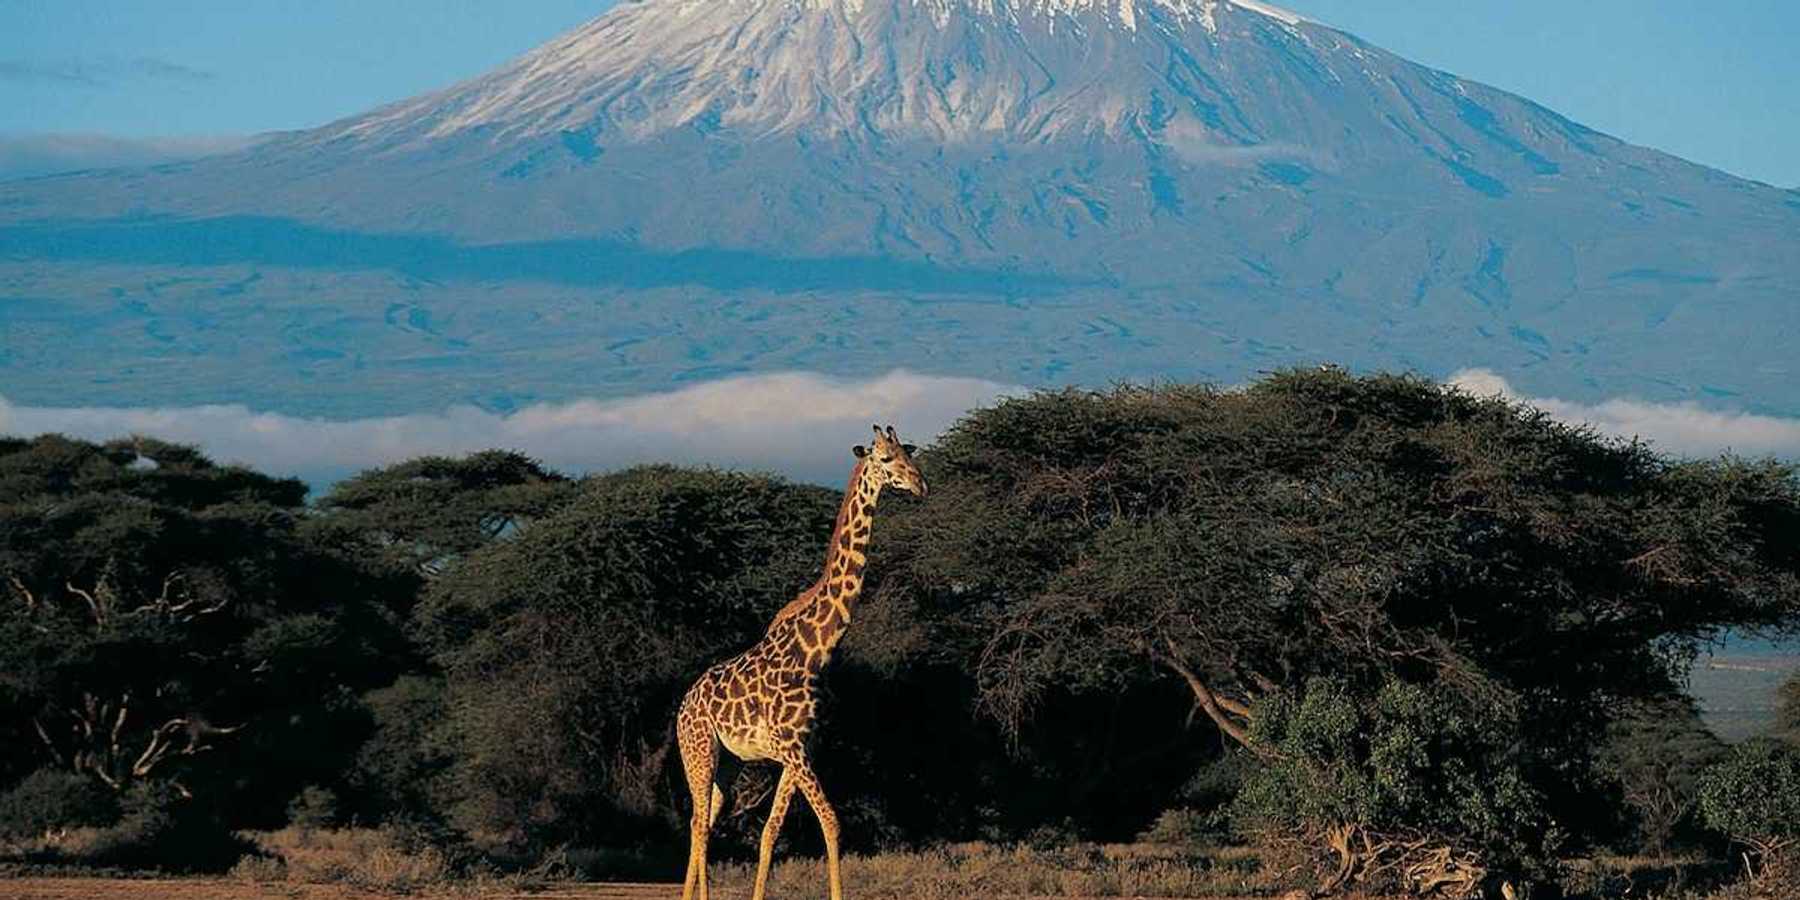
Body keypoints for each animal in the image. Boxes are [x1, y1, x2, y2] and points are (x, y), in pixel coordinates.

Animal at [675, 424, 927, 900]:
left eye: (909, 452)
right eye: (885, 459)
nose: (920, 484)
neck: (816, 649)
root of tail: (682, 706)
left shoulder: (802, 749)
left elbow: (770, 832)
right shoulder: (792, 749)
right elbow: (831, 822)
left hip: (729, 763)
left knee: (705, 819)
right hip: (698, 750)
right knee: (698, 823)